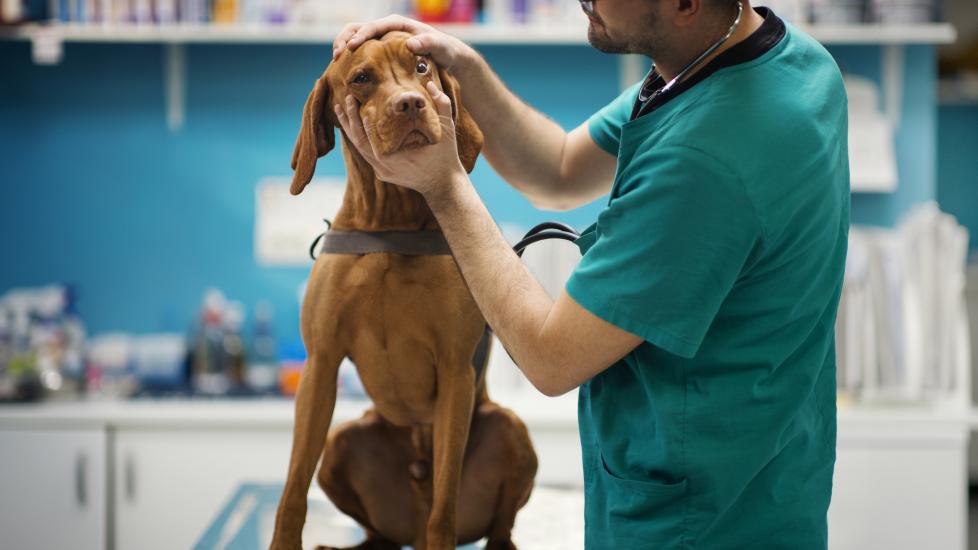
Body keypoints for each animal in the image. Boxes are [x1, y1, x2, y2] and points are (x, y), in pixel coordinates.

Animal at [266, 31, 536, 550]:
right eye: (360, 78)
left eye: (422, 66)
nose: (410, 104)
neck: (391, 224)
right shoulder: (320, 364)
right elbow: (292, 490)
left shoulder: (455, 371)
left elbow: (444, 509)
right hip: (343, 441)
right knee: (378, 531)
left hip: (509, 429)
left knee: (495, 525)